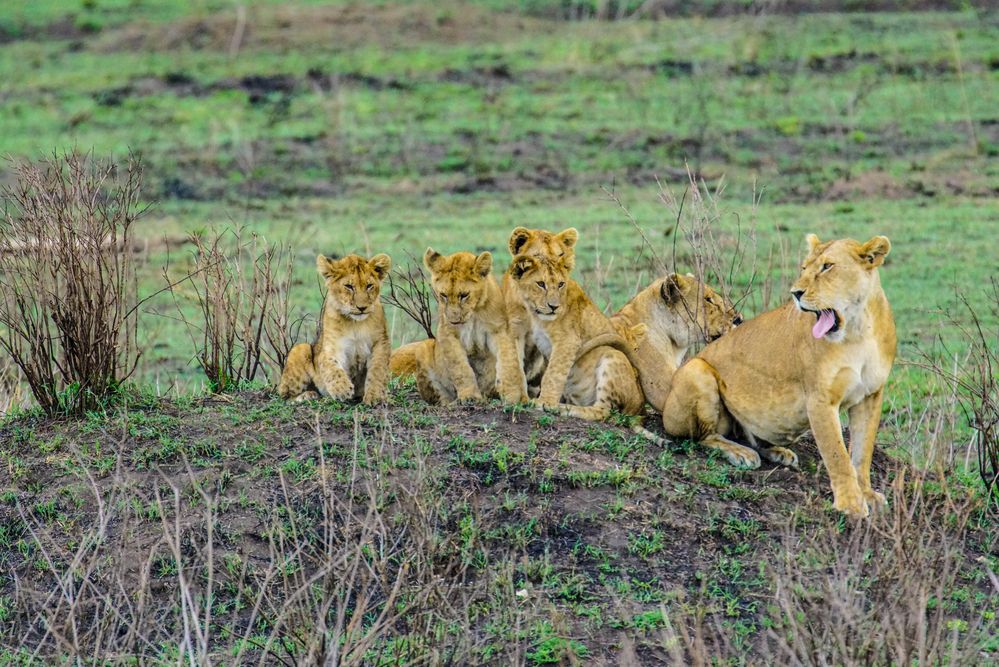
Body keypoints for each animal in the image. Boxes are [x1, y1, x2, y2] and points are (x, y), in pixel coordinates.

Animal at [664, 237, 900, 520]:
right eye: (804, 268)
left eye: (827, 267)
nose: (795, 293)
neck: (857, 331)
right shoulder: (820, 400)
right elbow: (837, 455)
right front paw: (851, 504)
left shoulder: (870, 396)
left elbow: (862, 453)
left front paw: (867, 495)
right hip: (697, 370)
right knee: (703, 437)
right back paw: (741, 453)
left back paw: (778, 452)